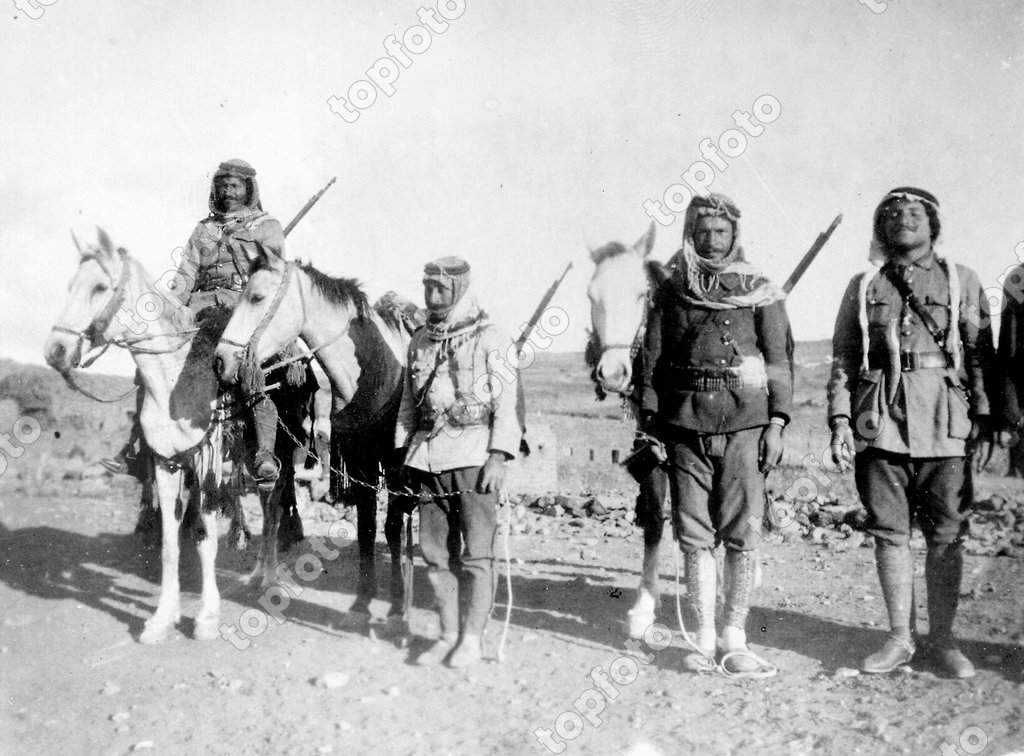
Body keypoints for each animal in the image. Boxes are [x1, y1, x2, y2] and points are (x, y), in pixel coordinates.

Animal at [44, 226, 228, 639]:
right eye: (69, 286)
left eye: (100, 287)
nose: (55, 350)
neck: (177, 382)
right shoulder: (166, 462)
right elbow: (170, 545)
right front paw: (162, 617)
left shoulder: (207, 462)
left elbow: (206, 537)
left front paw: (208, 617)